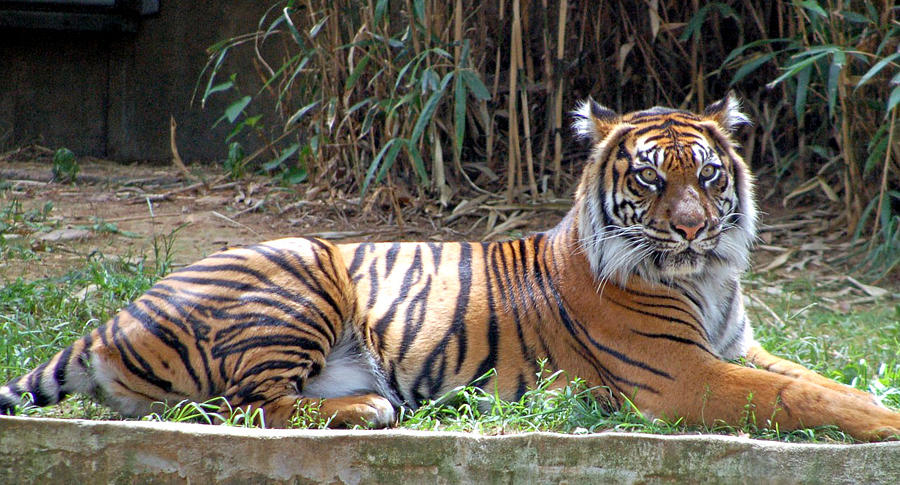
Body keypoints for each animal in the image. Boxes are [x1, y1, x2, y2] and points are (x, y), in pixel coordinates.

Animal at [1, 93, 900, 438]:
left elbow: (820, 379)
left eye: (709, 175)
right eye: (651, 179)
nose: (692, 229)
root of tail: (112, 319)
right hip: (302, 269)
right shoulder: (684, 376)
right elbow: (800, 395)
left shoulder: (737, 348)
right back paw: (369, 408)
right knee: (245, 405)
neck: (706, 280)